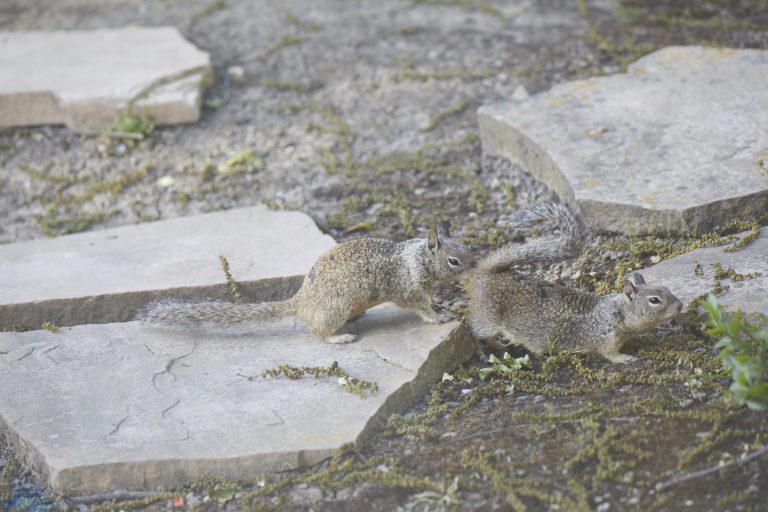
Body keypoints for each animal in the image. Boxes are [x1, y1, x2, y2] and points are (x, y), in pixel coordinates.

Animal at [139, 223, 471, 344]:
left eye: (466, 246)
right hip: (336, 307)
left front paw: (443, 305)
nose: (476, 264)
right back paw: (340, 338)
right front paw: (438, 315)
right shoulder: (409, 288)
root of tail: (300, 301)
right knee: (317, 332)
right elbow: (421, 307)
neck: (417, 258)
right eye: (454, 261)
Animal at [468, 201, 683, 364]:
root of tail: (487, 272)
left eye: (666, 289)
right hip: (489, 319)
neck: (617, 312)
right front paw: (626, 358)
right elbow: (610, 354)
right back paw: (484, 352)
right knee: (476, 333)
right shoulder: (605, 338)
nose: (680, 305)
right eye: (654, 300)